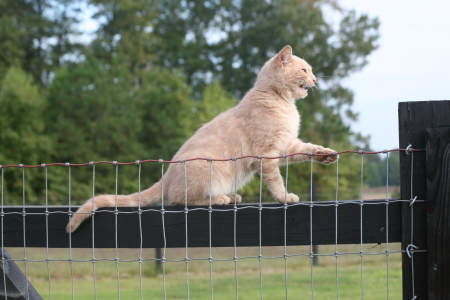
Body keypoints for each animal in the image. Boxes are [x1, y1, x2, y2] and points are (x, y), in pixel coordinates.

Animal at [67, 45, 338, 233]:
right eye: (304, 70)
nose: (315, 79)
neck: (280, 101)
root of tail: (166, 176)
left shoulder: (287, 146)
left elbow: (308, 150)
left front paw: (326, 154)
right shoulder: (268, 155)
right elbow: (277, 183)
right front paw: (285, 197)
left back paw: (231, 197)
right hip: (204, 167)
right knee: (182, 200)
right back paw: (220, 198)